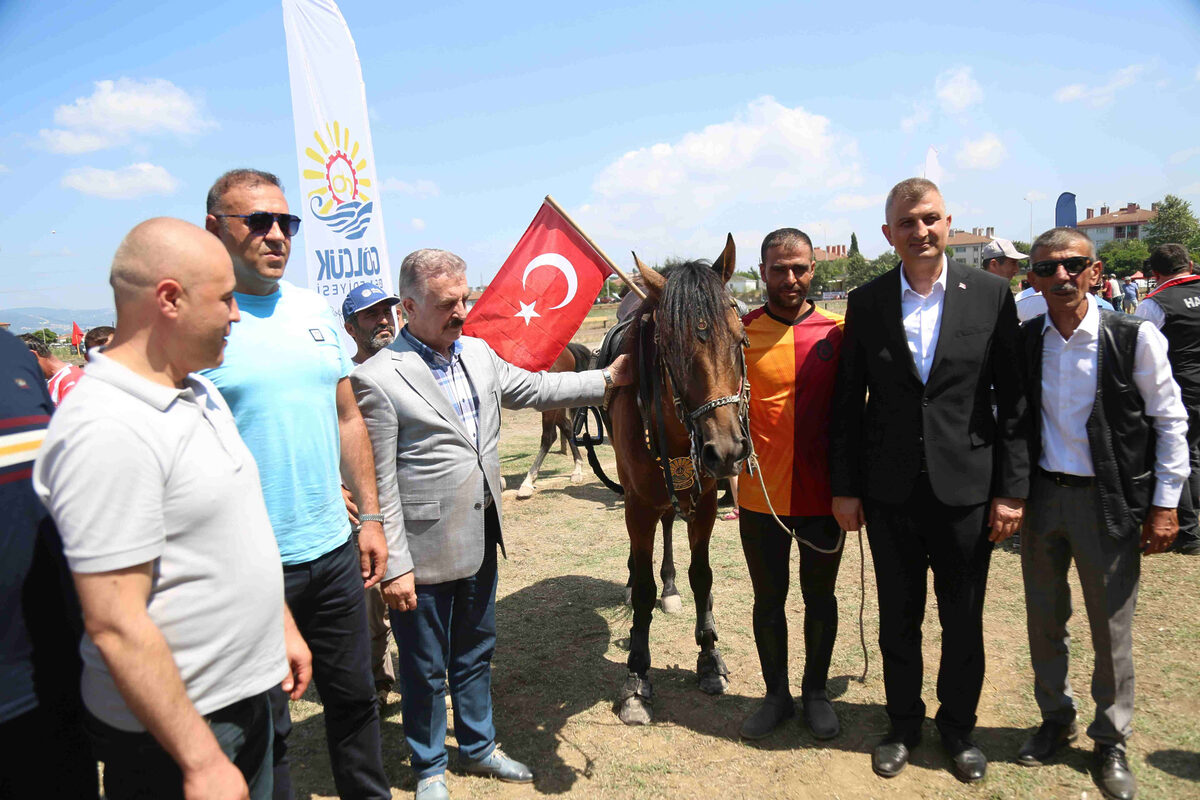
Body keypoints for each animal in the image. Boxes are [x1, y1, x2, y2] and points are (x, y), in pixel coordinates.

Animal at [609, 237, 748, 724]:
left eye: (740, 339)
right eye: (670, 346)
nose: (726, 451)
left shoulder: (704, 501)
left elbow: (702, 575)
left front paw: (709, 658)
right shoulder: (636, 504)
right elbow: (643, 587)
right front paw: (636, 675)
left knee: (670, 526)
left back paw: (670, 586)